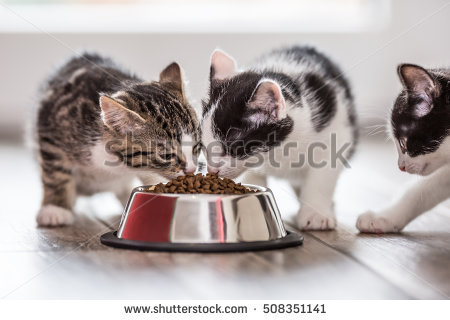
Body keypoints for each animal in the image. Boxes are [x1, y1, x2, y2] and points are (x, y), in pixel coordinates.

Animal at [36, 53, 201, 228]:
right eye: (166, 155)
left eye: (197, 147)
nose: (191, 170)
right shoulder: (50, 129)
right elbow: (56, 173)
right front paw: (55, 209)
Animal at [202, 45, 356, 230]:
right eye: (204, 146)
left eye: (231, 146)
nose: (212, 171)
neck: (278, 150)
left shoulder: (338, 133)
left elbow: (323, 175)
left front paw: (316, 212)